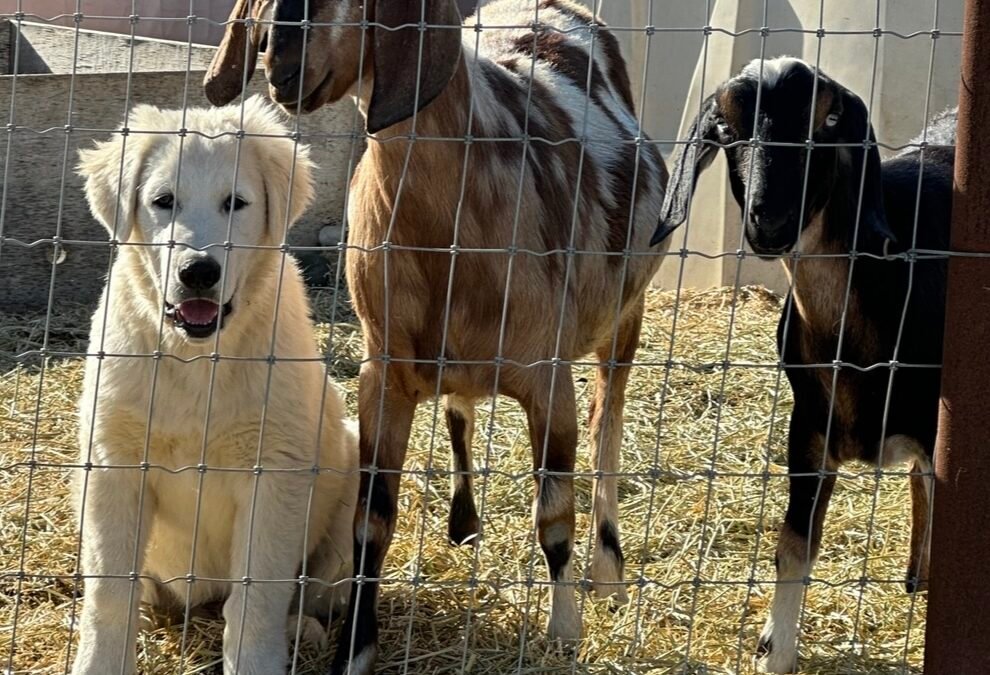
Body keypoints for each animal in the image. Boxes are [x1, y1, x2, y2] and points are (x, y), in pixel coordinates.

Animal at [74, 96, 360, 675]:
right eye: (163, 201)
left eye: (236, 203)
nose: (199, 272)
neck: (196, 357)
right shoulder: (112, 462)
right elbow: (109, 590)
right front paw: (100, 661)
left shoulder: (274, 470)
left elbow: (258, 593)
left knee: (314, 592)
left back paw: (302, 630)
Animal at [205, 2, 672, 672]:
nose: (281, 62)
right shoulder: (384, 373)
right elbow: (371, 521)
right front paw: (356, 648)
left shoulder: (546, 375)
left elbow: (555, 517)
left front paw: (563, 631)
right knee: (462, 410)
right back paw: (464, 521)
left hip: (624, 316)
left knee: (607, 416)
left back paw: (608, 570)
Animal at [656, 56, 956, 672]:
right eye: (726, 129)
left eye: (830, 120)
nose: (769, 222)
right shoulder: (811, 428)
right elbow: (794, 545)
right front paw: (777, 649)